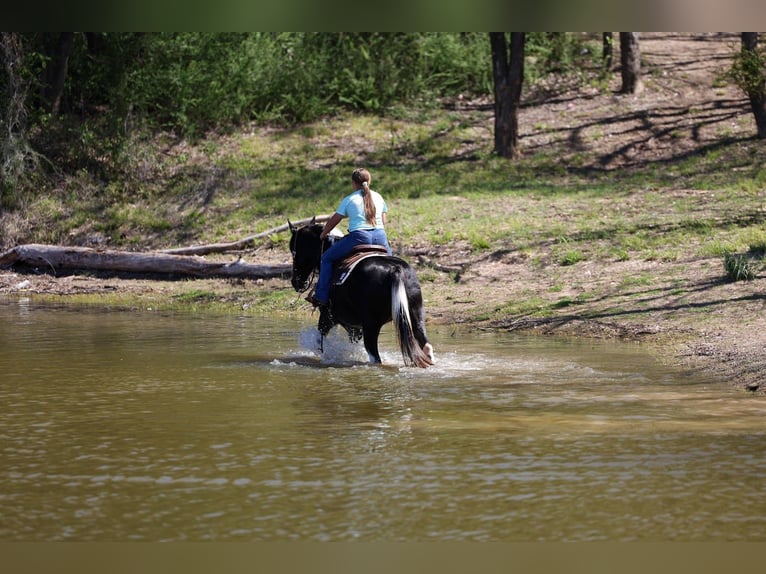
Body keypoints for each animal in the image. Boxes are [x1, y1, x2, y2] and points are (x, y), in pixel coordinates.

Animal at [288, 218, 434, 368]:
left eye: (293, 252)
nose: (296, 282)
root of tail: (396, 269)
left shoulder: (329, 317)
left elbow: (319, 339)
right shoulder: (353, 327)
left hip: (371, 326)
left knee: (375, 356)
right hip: (415, 315)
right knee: (426, 345)